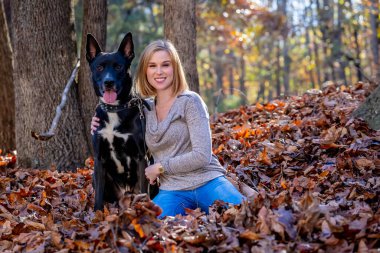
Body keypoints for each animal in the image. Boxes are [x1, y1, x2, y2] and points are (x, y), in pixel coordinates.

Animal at [85, 32, 156, 211]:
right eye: (99, 67)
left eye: (118, 67)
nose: (108, 82)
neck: (115, 109)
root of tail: (127, 194)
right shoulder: (99, 159)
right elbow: (98, 195)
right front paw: (97, 213)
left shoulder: (141, 157)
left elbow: (144, 190)